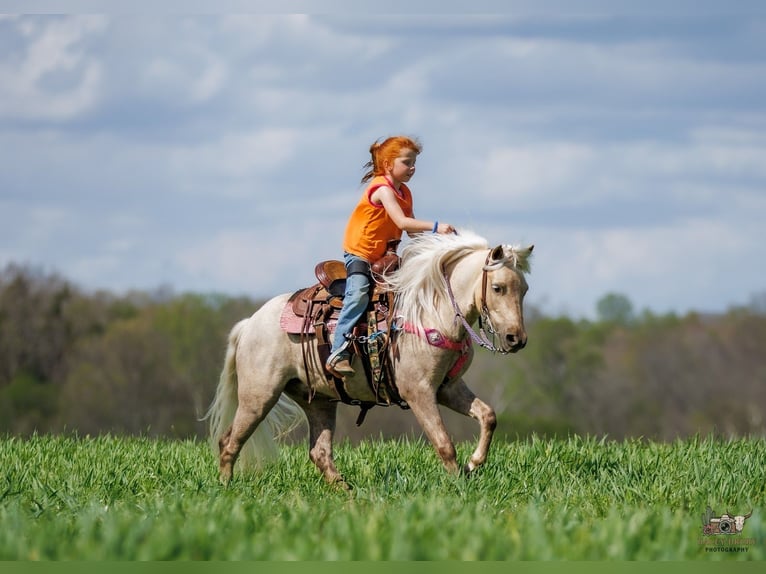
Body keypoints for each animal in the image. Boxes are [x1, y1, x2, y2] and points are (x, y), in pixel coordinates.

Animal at [205, 230, 533, 489]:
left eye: (525, 289)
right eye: (498, 288)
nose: (516, 339)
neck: (431, 311)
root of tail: (250, 323)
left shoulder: (447, 388)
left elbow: (488, 416)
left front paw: (473, 464)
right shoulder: (419, 391)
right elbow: (444, 443)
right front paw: (458, 485)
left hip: (318, 400)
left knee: (319, 452)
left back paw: (346, 491)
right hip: (259, 396)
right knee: (229, 442)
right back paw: (226, 487)